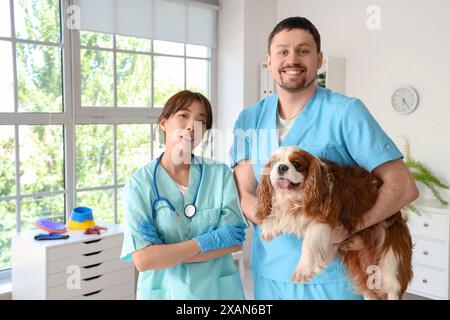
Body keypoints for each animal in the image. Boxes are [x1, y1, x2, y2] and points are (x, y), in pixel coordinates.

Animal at [255, 146, 414, 298]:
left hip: (392, 257)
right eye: (274, 163)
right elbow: (280, 214)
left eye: (296, 164)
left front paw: (302, 270)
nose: (281, 167)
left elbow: (308, 243)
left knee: (393, 287)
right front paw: (269, 228)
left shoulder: (324, 221)